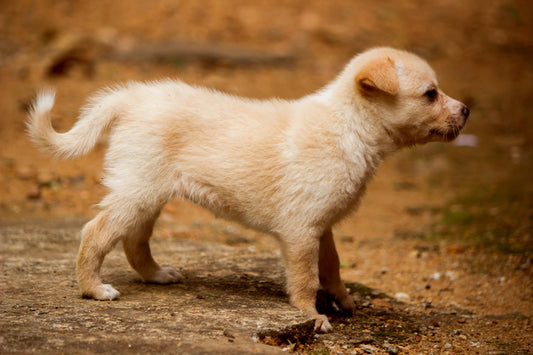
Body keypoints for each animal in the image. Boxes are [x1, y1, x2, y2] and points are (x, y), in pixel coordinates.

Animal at [26, 48, 466, 334]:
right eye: (430, 94)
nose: (466, 111)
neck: (350, 127)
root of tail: (132, 96)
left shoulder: (322, 227)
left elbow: (332, 267)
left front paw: (342, 300)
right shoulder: (301, 231)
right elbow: (305, 280)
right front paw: (313, 316)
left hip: (147, 191)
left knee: (135, 241)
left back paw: (158, 275)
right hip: (137, 190)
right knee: (95, 232)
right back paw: (94, 289)